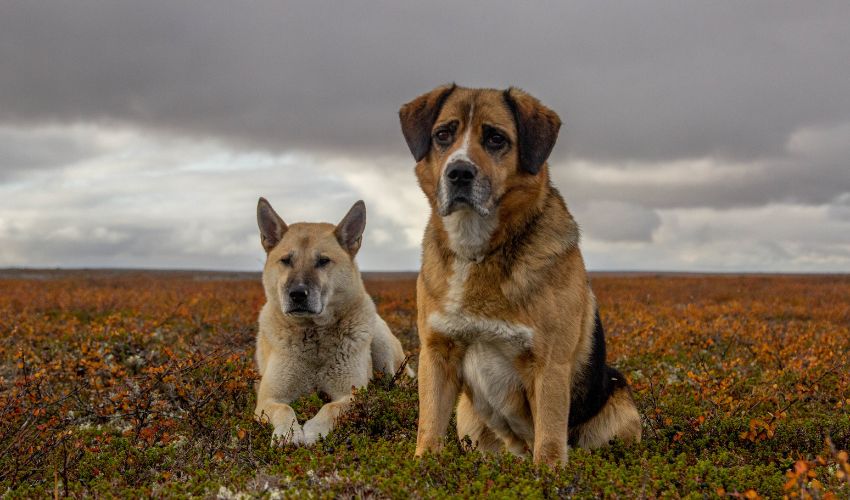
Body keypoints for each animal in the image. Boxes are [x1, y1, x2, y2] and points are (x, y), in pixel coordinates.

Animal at [253, 197, 410, 444]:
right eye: (286, 260)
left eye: (323, 261)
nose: (297, 294)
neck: (314, 336)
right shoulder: (269, 398)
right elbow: (284, 409)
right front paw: (288, 434)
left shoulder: (350, 394)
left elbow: (330, 408)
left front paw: (313, 431)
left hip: (383, 348)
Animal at [400, 85, 640, 464]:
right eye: (443, 135)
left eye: (496, 138)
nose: (459, 173)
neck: (478, 251)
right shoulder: (437, 353)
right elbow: (429, 427)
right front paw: (424, 465)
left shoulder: (549, 365)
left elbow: (550, 440)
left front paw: (549, 473)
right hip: (468, 416)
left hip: (620, 407)